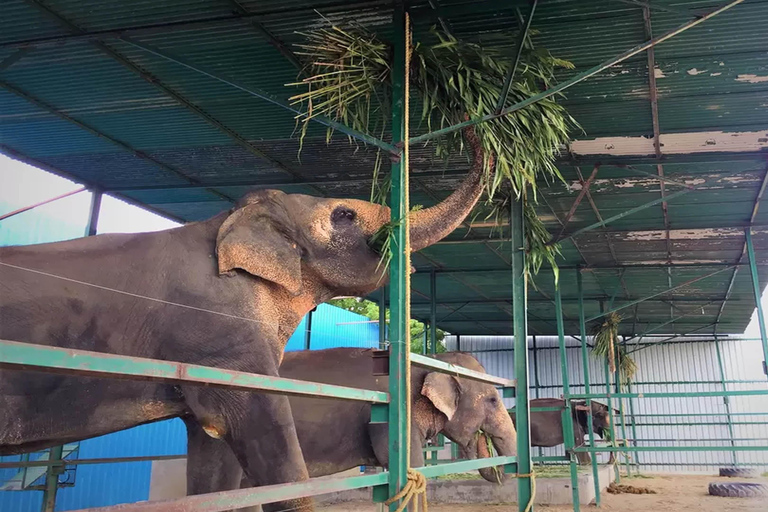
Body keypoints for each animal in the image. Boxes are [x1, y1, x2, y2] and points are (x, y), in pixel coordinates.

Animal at [0, 128, 488, 512]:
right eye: (344, 215)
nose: (470, 118)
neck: (228, 221)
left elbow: (213, 457)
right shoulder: (224, 332)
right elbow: (268, 433)